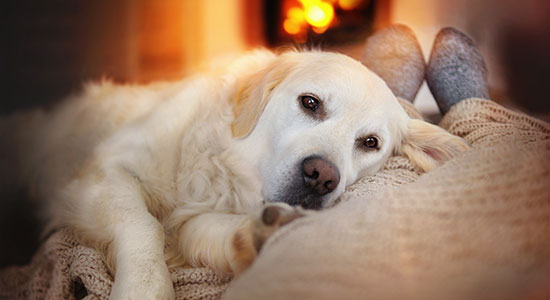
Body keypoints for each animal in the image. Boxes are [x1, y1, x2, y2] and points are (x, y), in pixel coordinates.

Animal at [3, 49, 470, 298]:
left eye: (370, 143)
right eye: (310, 103)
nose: (321, 176)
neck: (224, 169)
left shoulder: (192, 223)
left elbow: (204, 232)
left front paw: (262, 233)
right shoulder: (103, 170)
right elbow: (142, 226)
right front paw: (144, 288)